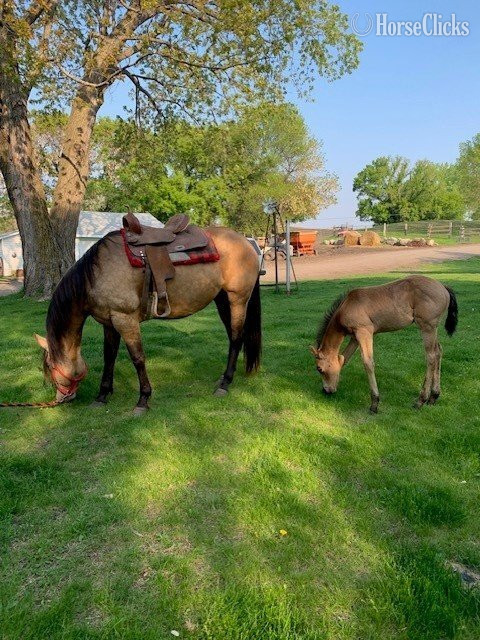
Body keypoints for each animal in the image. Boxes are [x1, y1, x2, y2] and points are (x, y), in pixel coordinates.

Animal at [34, 226, 261, 414]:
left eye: (50, 367)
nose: (61, 399)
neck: (96, 274)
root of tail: (246, 243)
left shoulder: (125, 320)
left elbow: (138, 358)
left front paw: (143, 399)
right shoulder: (109, 323)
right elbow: (109, 357)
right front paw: (102, 396)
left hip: (238, 299)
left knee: (236, 338)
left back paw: (225, 384)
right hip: (222, 300)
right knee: (233, 337)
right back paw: (224, 377)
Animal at [310, 275, 458, 413]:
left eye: (319, 368)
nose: (326, 390)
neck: (346, 307)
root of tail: (443, 287)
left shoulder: (364, 332)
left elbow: (368, 363)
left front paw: (374, 403)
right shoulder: (355, 338)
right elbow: (344, 358)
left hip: (427, 326)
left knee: (431, 356)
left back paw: (421, 400)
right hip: (433, 328)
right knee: (438, 351)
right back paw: (434, 396)